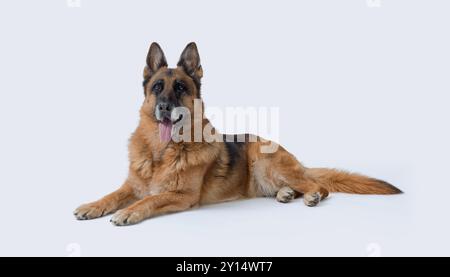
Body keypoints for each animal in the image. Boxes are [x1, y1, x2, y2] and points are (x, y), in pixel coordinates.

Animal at [74, 42, 400, 224]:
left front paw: (129, 212)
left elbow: (148, 200)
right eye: (157, 87)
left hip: (265, 159)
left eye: (179, 87)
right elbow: (112, 195)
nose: (164, 107)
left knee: (318, 186)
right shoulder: (131, 186)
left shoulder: (182, 196)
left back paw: (311, 196)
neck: (160, 152)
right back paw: (285, 194)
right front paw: (92, 206)